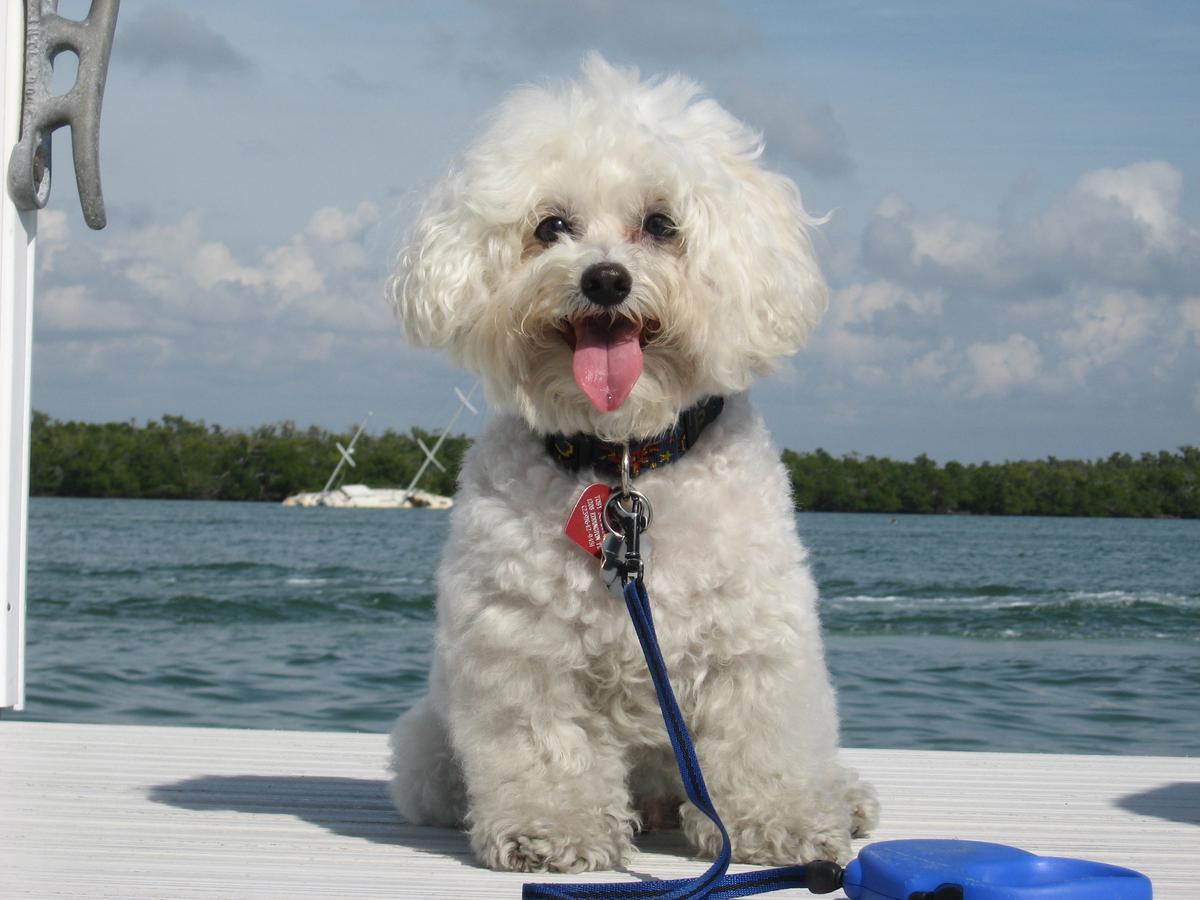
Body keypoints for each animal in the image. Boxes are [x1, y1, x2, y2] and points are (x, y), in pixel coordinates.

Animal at [388, 54, 878, 873]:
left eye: (661, 225)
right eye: (550, 226)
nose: (606, 279)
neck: (625, 463)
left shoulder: (754, 639)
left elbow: (760, 741)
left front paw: (782, 820)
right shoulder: (523, 647)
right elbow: (547, 748)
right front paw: (552, 831)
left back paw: (843, 796)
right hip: (428, 745)